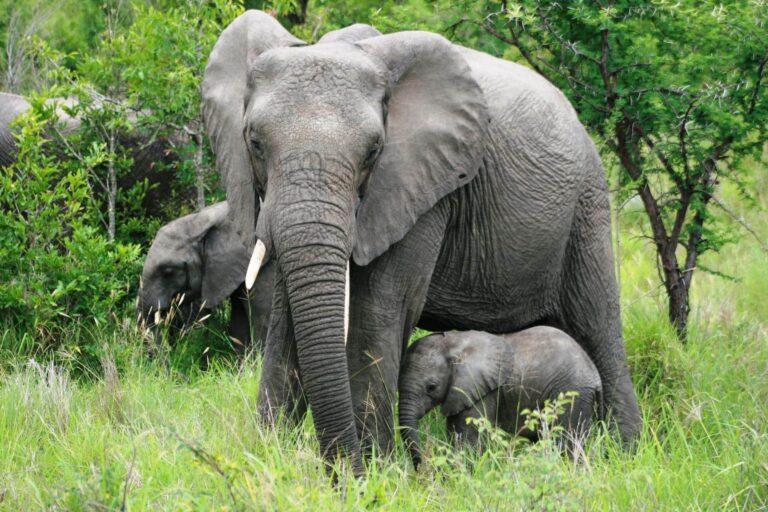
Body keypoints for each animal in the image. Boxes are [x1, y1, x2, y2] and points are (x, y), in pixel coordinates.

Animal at [138, 201, 276, 352]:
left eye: (168, 272)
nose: (170, 351)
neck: (198, 221)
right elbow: (239, 320)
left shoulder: (264, 267)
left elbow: (263, 321)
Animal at [400, 328, 604, 468]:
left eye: (431, 387)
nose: (423, 469)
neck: (453, 343)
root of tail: (595, 377)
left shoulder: (479, 390)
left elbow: (468, 439)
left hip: (571, 394)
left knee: (567, 442)